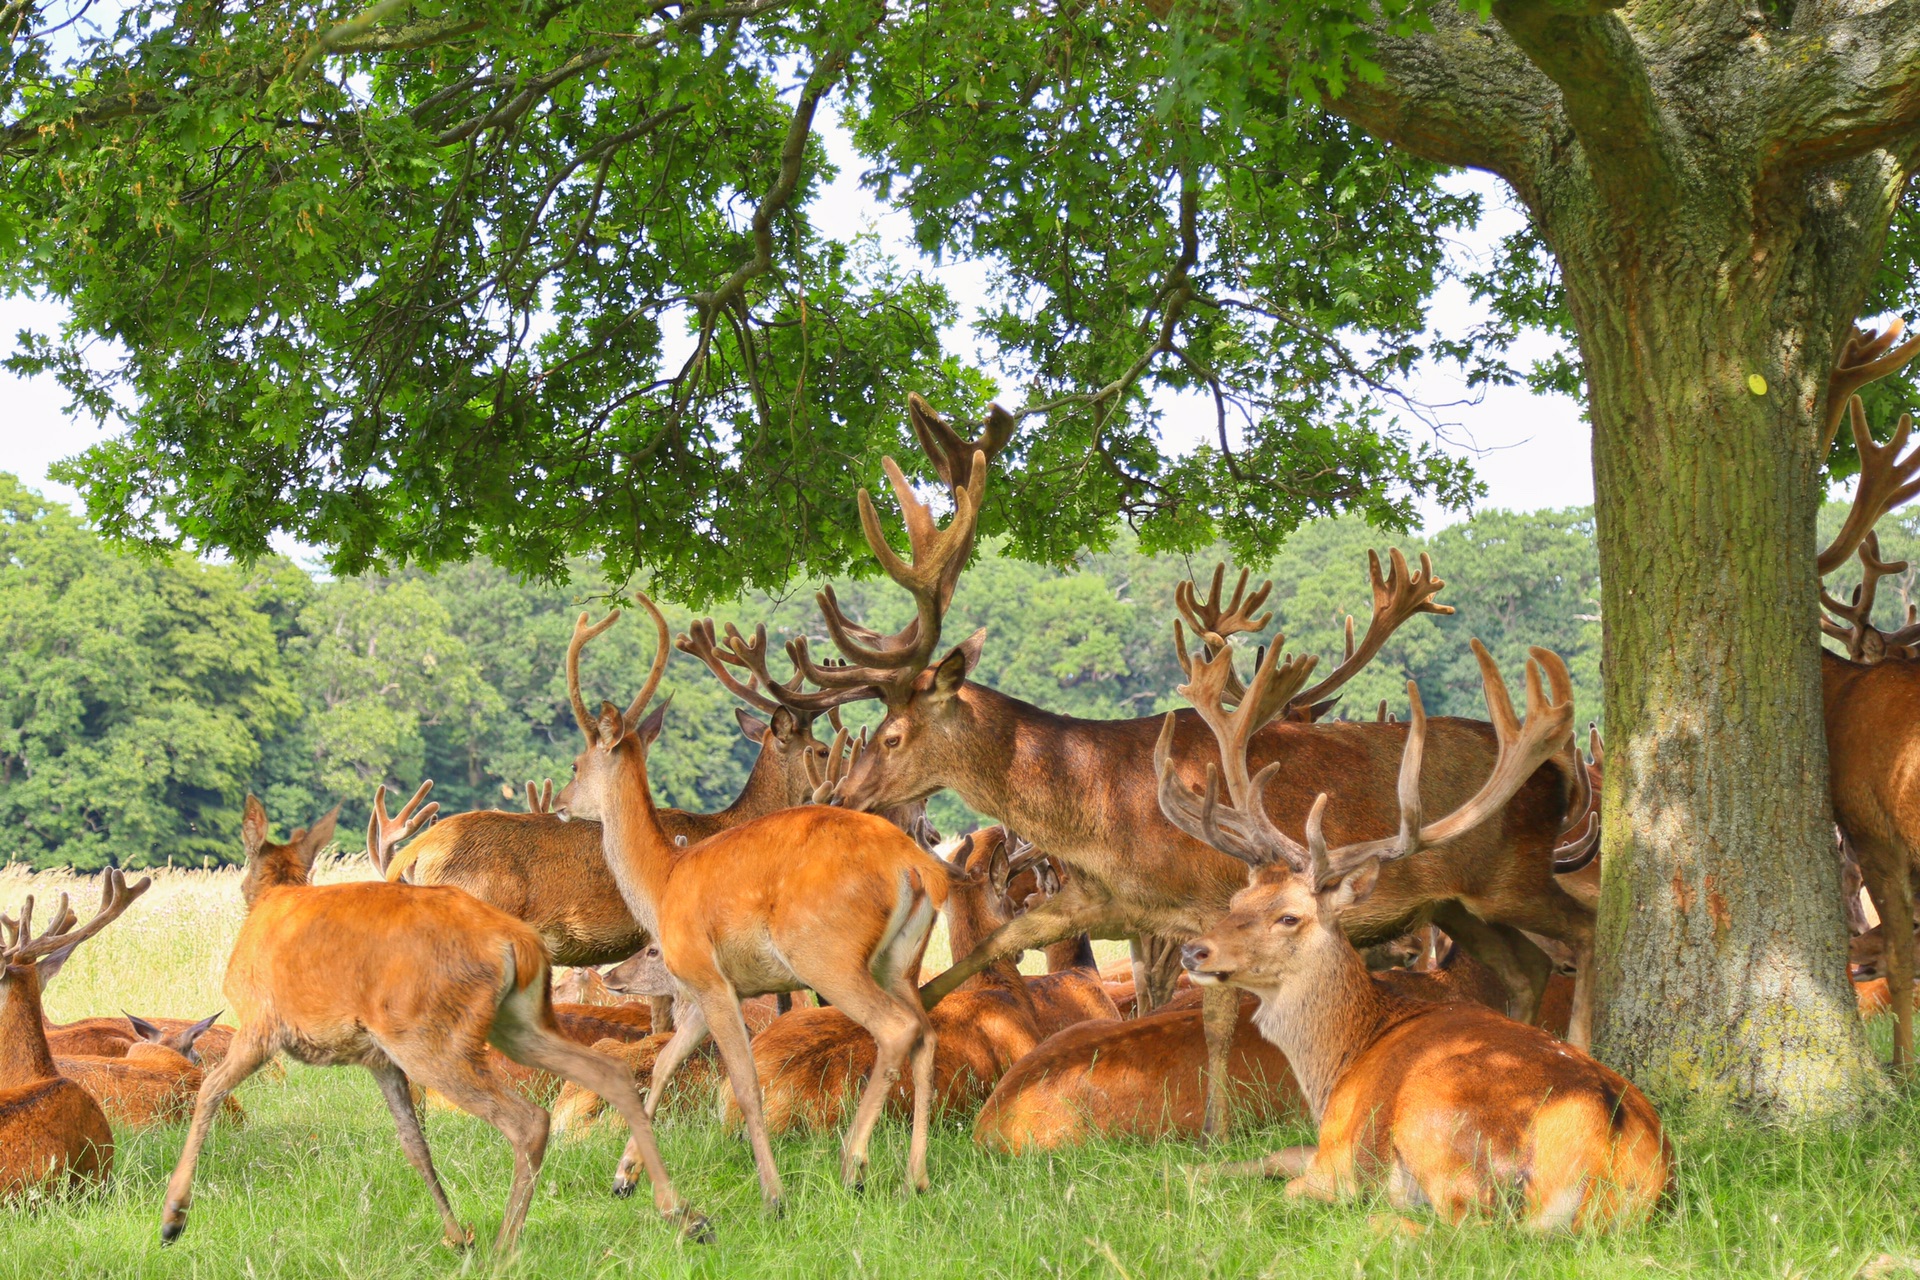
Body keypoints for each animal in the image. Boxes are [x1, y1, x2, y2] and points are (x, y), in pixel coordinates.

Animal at [155, 794, 698, 1258]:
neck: (275, 900)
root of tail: (518, 943)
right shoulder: (376, 1057)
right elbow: (413, 1142)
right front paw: (456, 1235)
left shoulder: (261, 1022)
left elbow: (209, 1091)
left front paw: (174, 1216)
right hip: (513, 1024)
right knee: (609, 1073)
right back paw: (676, 1211)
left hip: (431, 1034)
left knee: (527, 1120)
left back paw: (506, 1245)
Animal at [549, 591, 952, 1212]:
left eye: (575, 763)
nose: (563, 802)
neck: (662, 881)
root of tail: (917, 867)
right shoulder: (701, 988)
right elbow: (662, 1063)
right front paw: (624, 1177)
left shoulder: (709, 977)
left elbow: (743, 1082)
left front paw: (772, 1195)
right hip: (901, 959)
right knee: (927, 1033)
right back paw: (917, 1177)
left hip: (827, 953)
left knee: (894, 1029)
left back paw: (853, 1166)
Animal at [768, 395, 1589, 1136]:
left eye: (893, 735)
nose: (844, 796)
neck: (1106, 810)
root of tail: (1554, 776)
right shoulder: (1091, 899)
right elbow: (971, 961)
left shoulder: (1209, 897)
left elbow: (1219, 1020)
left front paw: (1215, 1134)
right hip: (1458, 903)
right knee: (1526, 967)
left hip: (1515, 875)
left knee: (1582, 932)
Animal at [1159, 629, 1674, 1228]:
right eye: (1238, 899)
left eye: (1290, 916)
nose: (1195, 952)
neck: (1340, 1060)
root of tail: (1607, 1144)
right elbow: (1267, 1154)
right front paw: (1184, 1169)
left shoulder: (1336, 1147)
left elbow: (1284, 1175)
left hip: (1444, 1138)